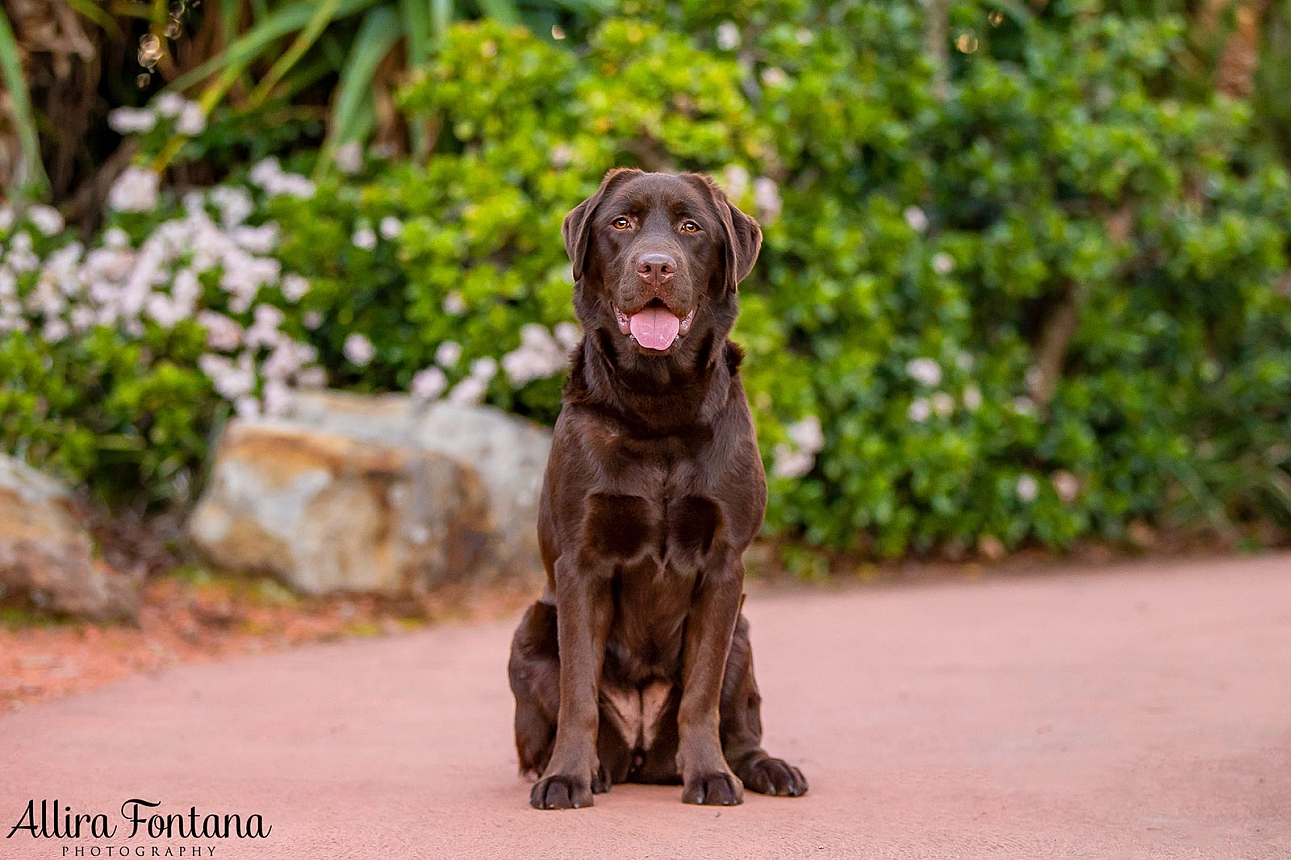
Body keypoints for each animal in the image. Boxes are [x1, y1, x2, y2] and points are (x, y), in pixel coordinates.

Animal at [506, 167, 800, 805]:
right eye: (621, 223)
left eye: (691, 227)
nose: (656, 266)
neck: (658, 406)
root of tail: (642, 755)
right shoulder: (580, 563)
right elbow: (579, 693)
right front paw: (567, 776)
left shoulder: (724, 565)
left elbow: (700, 695)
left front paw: (710, 774)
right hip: (529, 633)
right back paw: (581, 770)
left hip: (743, 637)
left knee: (739, 723)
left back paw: (764, 768)